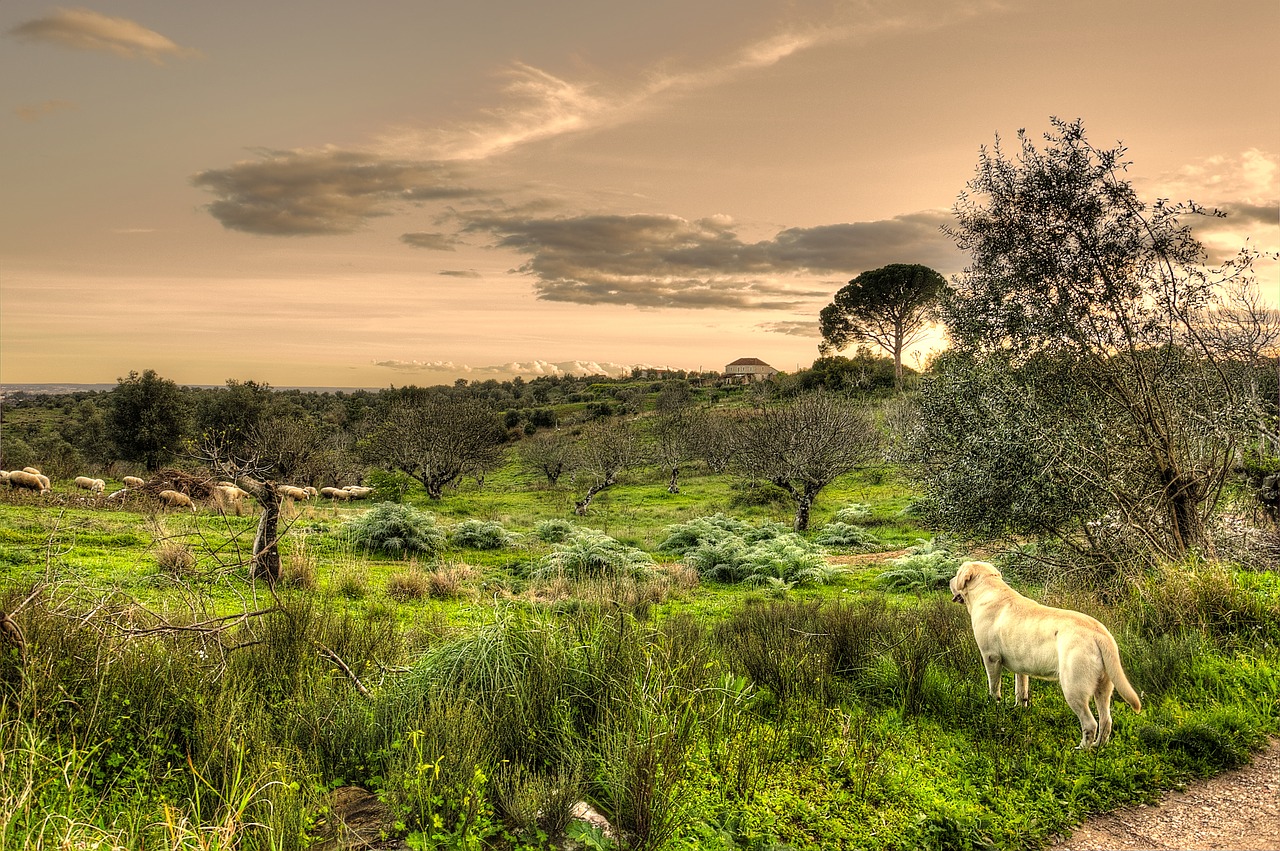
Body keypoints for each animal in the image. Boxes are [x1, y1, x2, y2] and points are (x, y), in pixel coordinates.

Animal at [952, 560, 1141, 747]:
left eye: (957, 573)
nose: (950, 581)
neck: (988, 588)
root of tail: (1099, 634)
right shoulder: (1020, 669)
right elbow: (1021, 691)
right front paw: (1019, 710)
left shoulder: (991, 657)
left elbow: (994, 688)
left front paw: (992, 706)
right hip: (1104, 686)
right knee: (1106, 720)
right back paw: (1098, 746)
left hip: (1073, 687)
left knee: (1090, 723)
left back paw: (1081, 749)